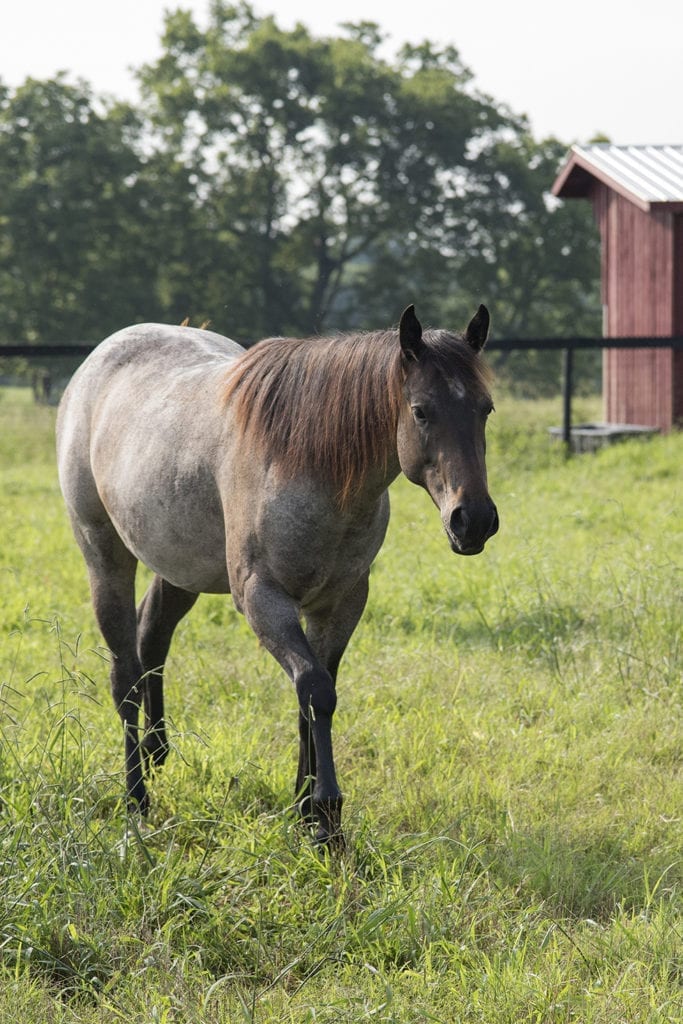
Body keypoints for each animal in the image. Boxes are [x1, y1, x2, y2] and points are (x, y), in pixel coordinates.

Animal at [57, 305, 497, 847]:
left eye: (485, 409)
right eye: (420, 411)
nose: (473, 520)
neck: (310, 465)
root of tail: (97, 361)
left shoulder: (342, 602)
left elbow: (318, 691)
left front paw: (305, 804)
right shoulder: (262, 598)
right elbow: (314, 688)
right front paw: (326, 817)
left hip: (180, 568)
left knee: (152, 638)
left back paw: (157, 754)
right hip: (105, 555)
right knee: (124, 674)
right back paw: (136, 800)